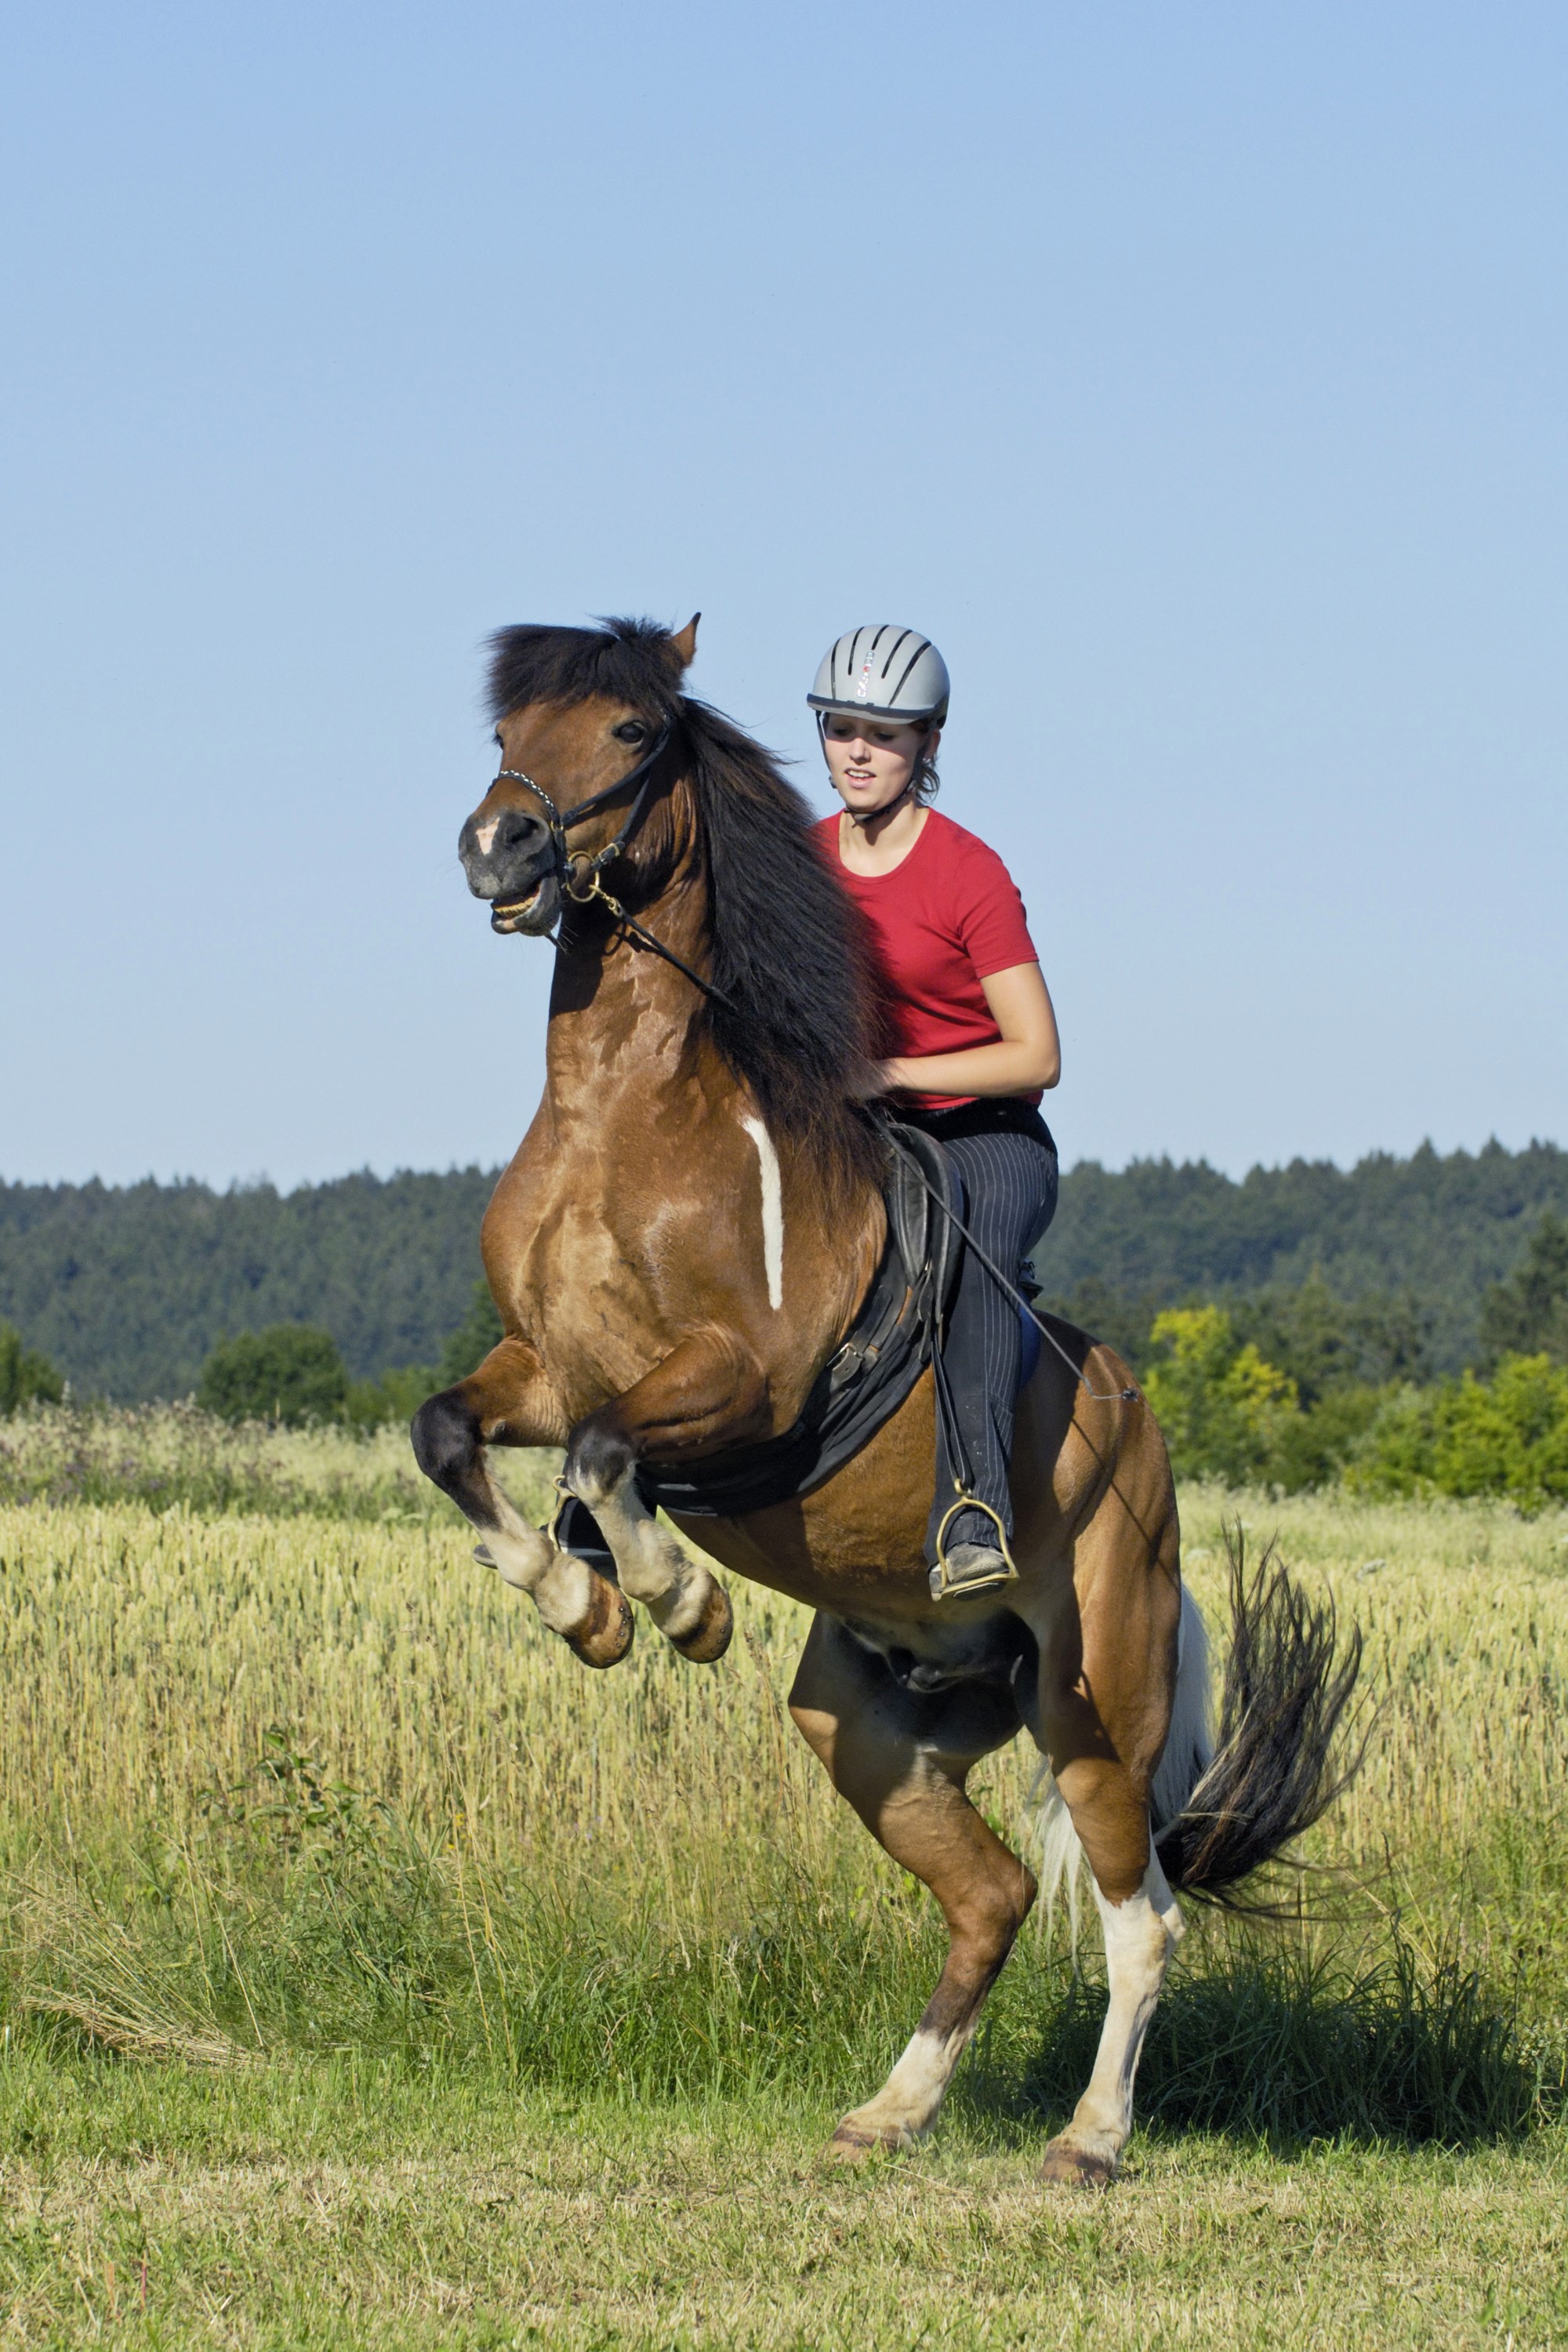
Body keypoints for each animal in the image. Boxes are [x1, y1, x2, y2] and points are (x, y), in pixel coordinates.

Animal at [411, 613, 1358, 2184]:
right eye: (506, 730)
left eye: (629, 733)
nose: (497, 849)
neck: (627, 1116)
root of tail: (1148, 1452)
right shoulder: (540, 1362)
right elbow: (447, 1434)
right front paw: (579, 1603)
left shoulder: (742, 1382)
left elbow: (609, 1456)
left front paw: (675, 1601)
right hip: (868, 1724)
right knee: (989, 1898)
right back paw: (895, 2108)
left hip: (1097, 1709)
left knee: (1141, 1916)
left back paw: (1091, 2140)